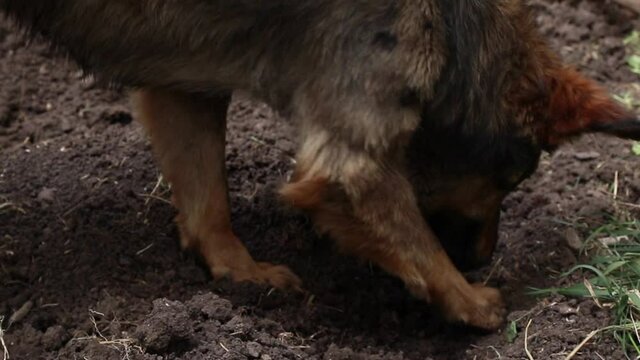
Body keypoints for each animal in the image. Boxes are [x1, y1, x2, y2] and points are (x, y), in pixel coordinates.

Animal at [2, 0, 636, 332]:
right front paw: (472, 304)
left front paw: (239, 270)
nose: (483, 259)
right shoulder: (350, 164)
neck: (458, 28)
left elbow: (207, 196)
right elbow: (416, 242)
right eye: (512, 182)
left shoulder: (185, 86)